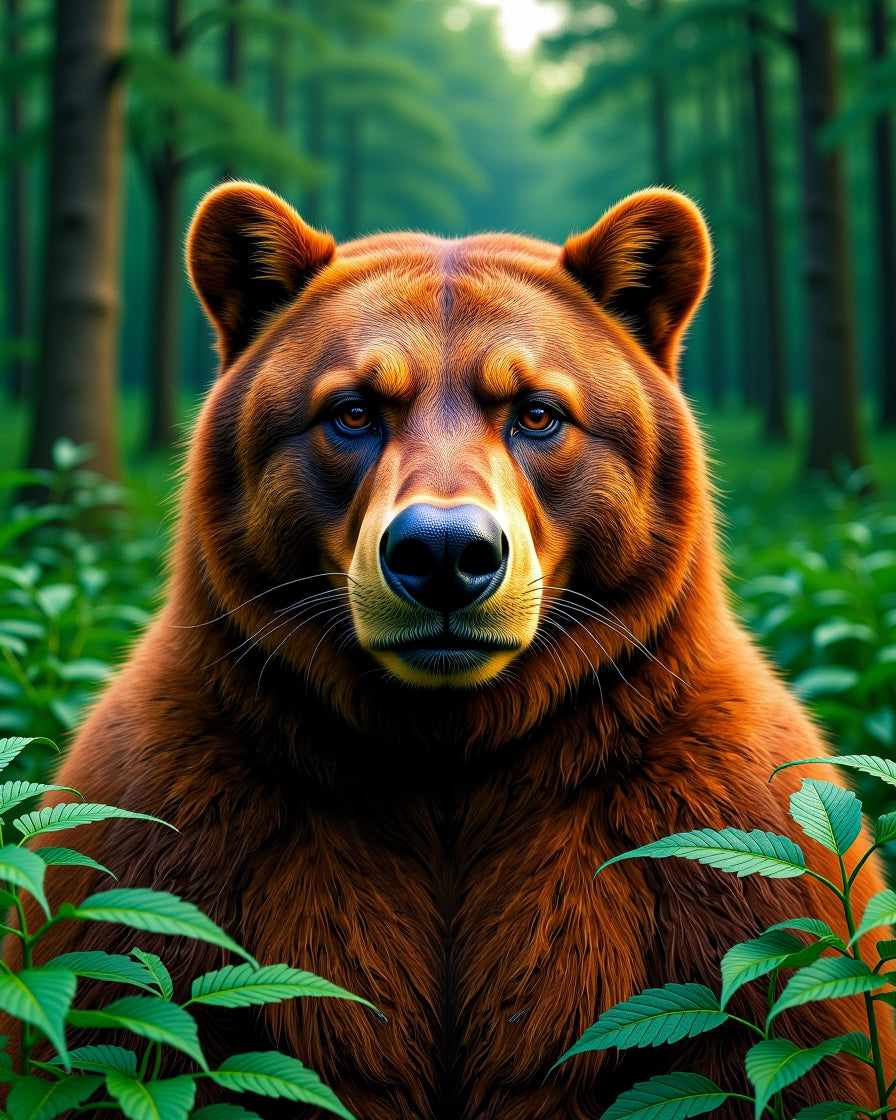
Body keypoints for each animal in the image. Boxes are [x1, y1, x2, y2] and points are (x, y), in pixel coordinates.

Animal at [5, 182, 893, 1119]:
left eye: (537, 413)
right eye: (353, 411)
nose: (442, 552)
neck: (450, 755)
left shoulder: (720, 864)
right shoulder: (169, 841)